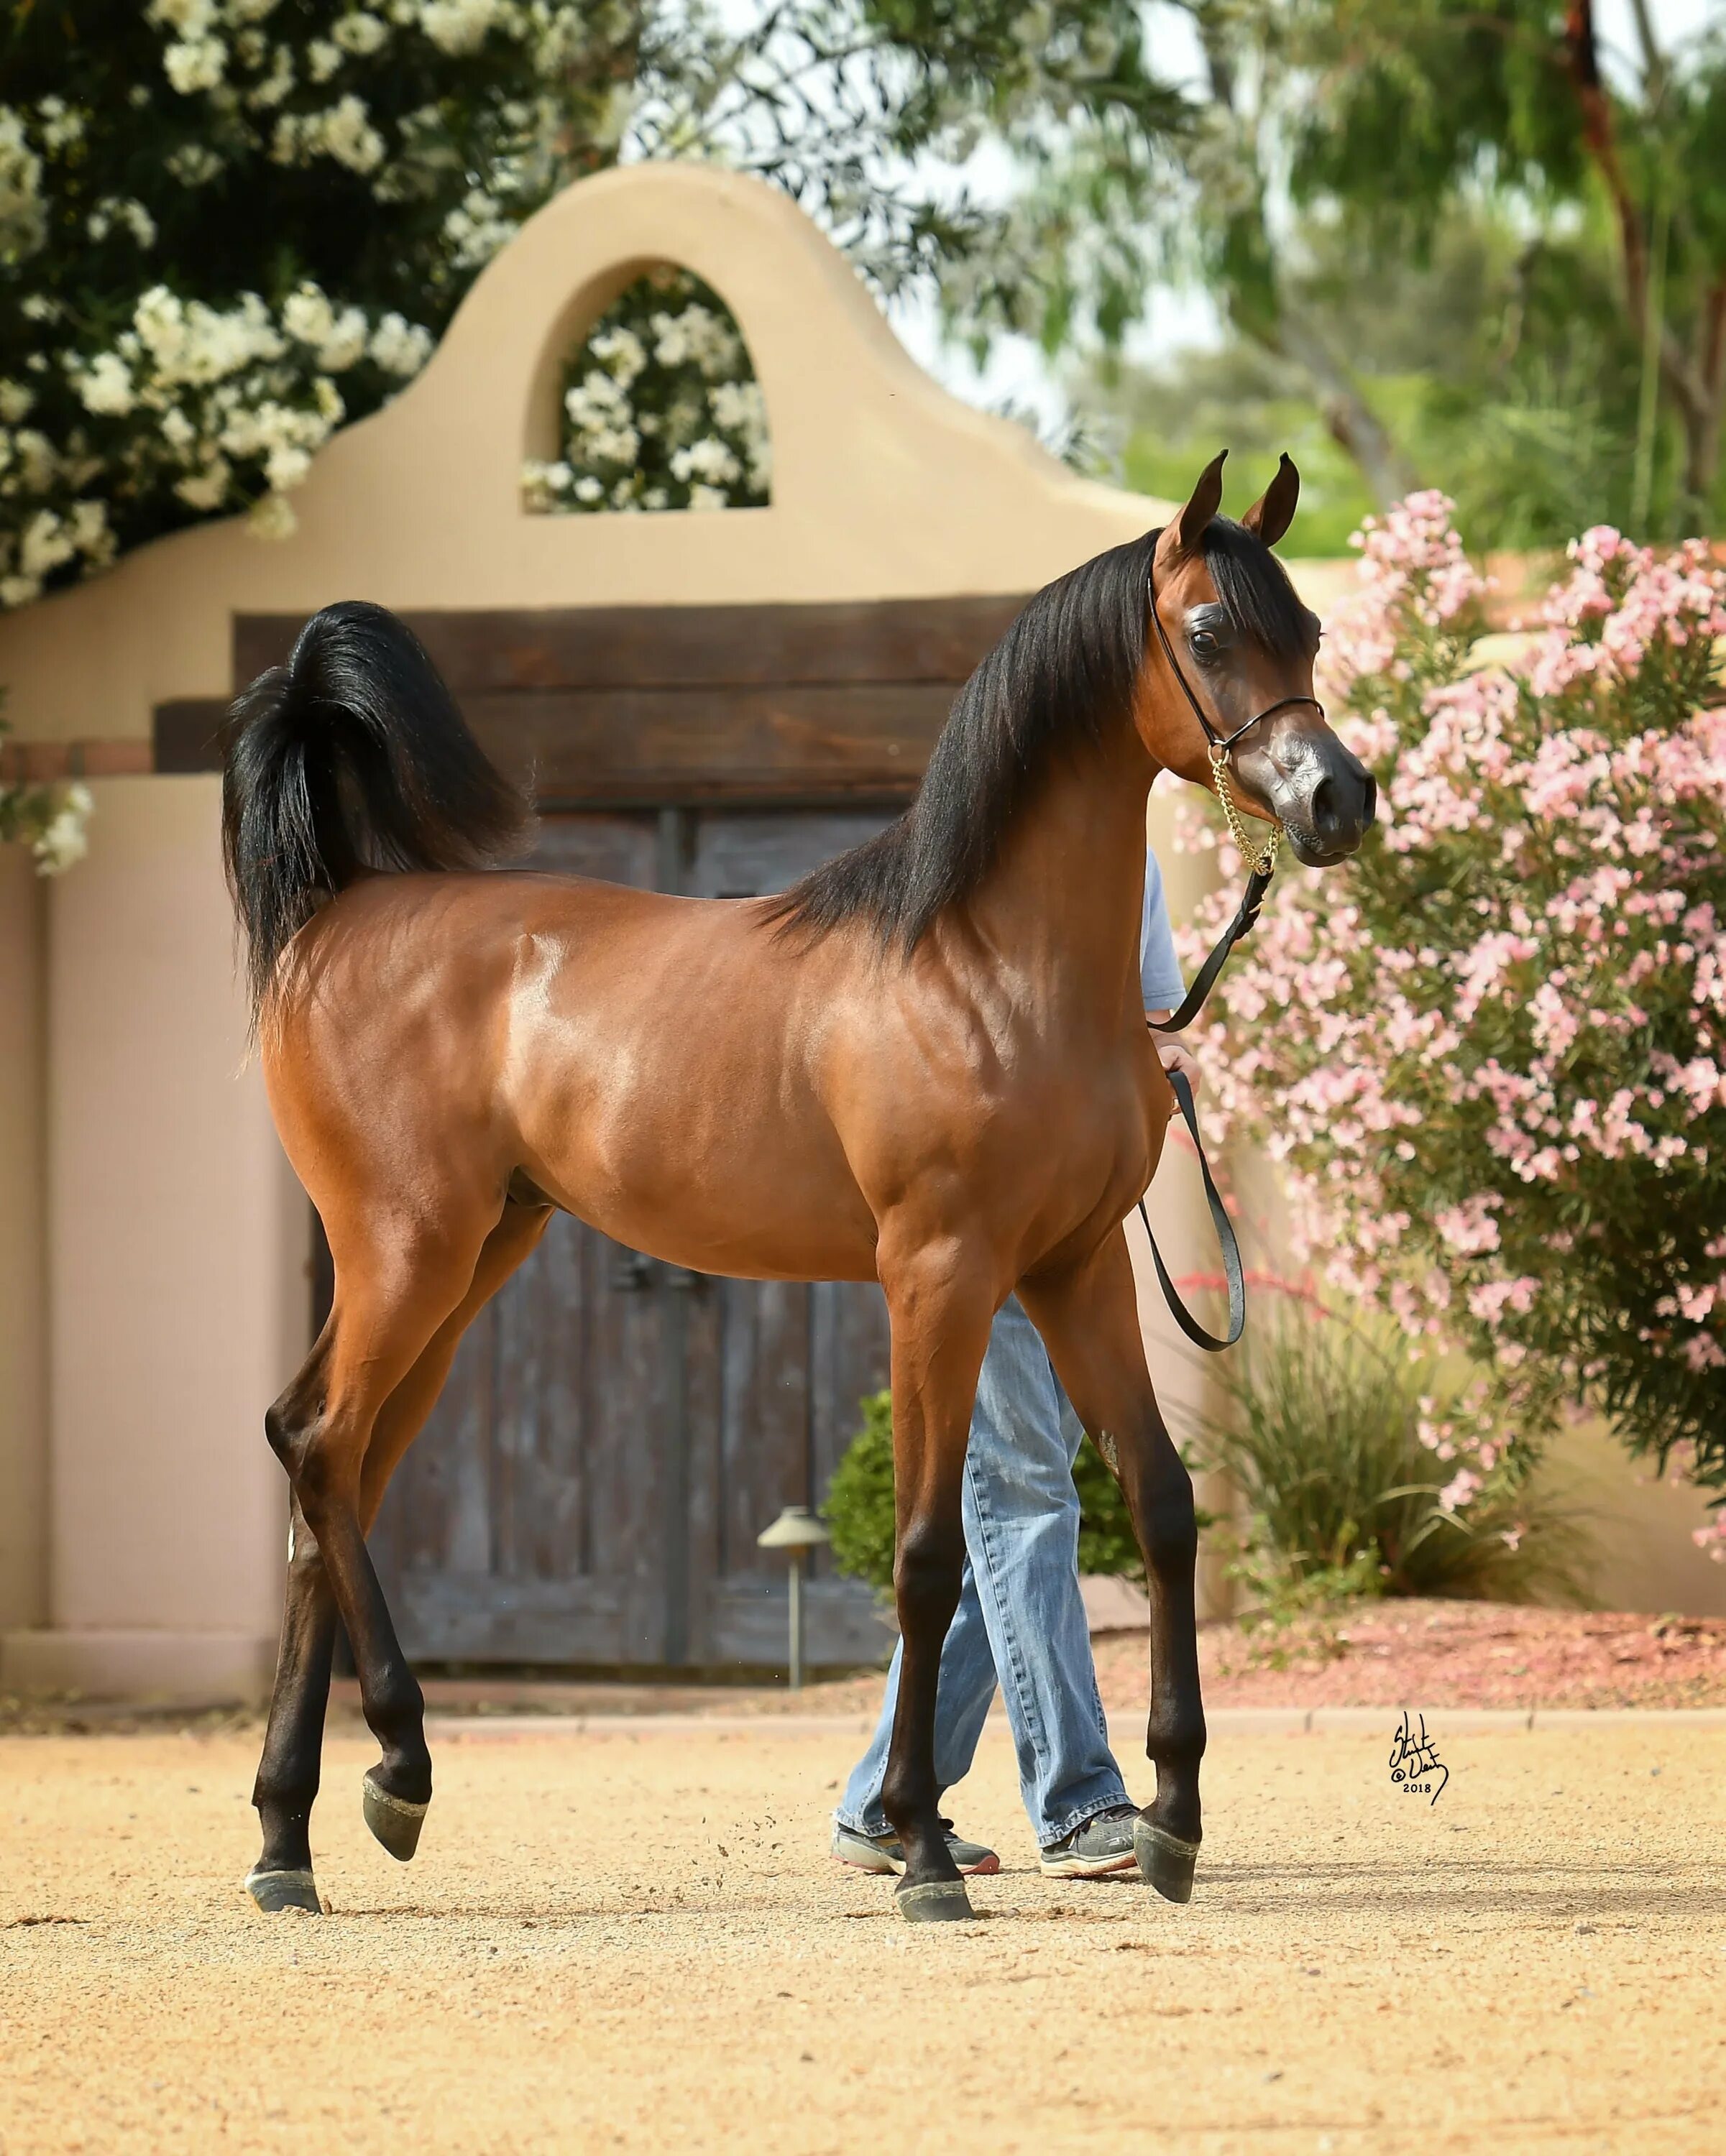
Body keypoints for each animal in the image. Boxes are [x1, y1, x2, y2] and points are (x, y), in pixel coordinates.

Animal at [222, 451, 1372, 1923]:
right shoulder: (938, 1274)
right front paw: (923, 1855)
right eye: (1215, 629)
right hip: (403, 1251)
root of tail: (336, 914)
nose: (1338, 800)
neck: (989, 966)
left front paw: (1168, 1822)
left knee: (332, 1477)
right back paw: (402, 1767)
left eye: (1315, 631)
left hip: (469, 1264)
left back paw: (289, 1840)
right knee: (318, 1449)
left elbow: (1164, 1506)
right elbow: (929, 1556)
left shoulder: (1075, 1266)